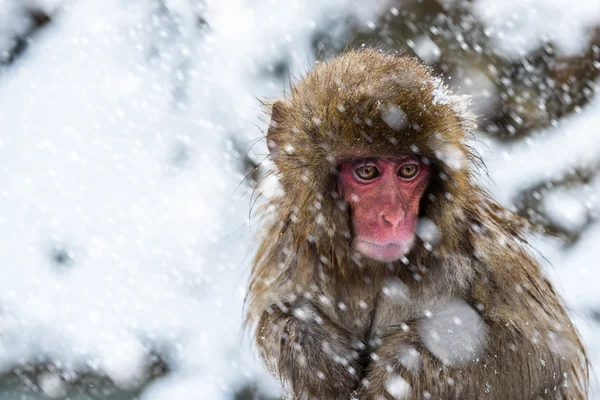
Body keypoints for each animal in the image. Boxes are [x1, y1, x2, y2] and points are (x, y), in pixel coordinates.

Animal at [244, 50, 584, 400]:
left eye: (408, 170)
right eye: (367, 172)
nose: (393, 217)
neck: (373, 270)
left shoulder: (488, 255)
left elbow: (541, 353)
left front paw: (404, 362)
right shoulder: (292, 253)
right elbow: (277, 313)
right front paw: (316, 347)